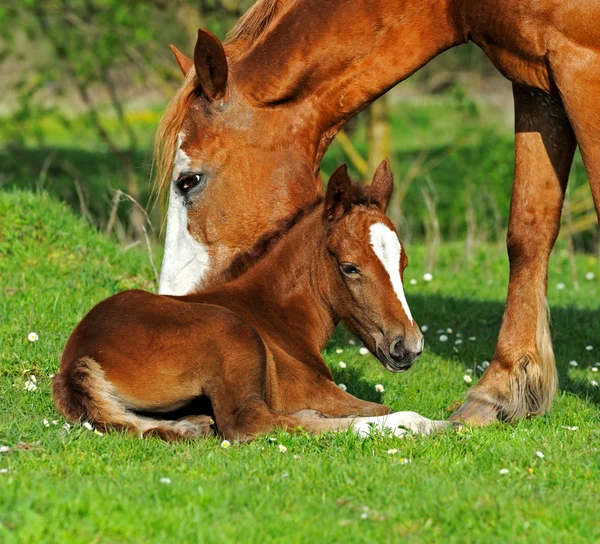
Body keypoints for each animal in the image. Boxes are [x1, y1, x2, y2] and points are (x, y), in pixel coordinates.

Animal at [52, 163, 450, 442]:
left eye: (403, 263)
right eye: (349, 267)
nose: (408, 347)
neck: (274, 314)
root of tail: (78, 358)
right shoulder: (317, 389)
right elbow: (380, 405)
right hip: (230, 331)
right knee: (250, 423)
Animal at [154, 0, 600, 424]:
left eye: (188, 181)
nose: (173, 303)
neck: (458, 6)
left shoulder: (581, 64)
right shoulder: (535, 84)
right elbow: (527, 231)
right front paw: (500, 392)